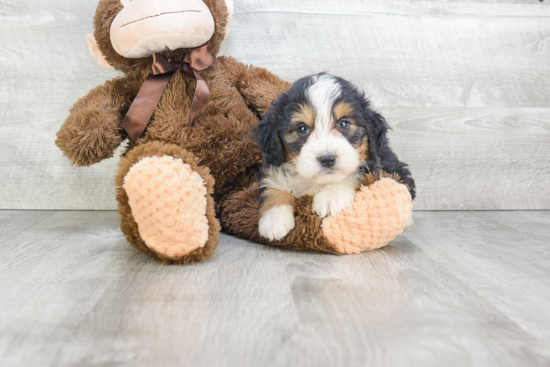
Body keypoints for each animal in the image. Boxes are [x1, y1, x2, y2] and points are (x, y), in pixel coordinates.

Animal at [252, 73, 416, 243]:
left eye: (343, 124)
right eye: (302, 128)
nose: (327, 159)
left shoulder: (371, 166)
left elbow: (351, 175)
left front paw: (331, 197)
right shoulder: (272, 167)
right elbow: (273, 187)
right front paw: (274, 219)